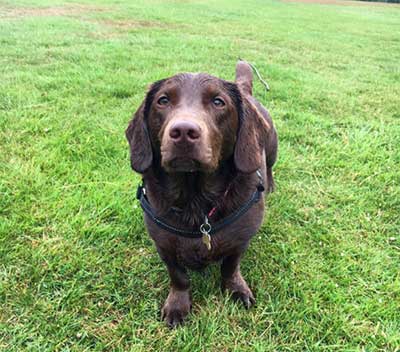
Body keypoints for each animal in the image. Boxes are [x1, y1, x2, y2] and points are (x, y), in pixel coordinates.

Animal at [126, 60, 278, 328]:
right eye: (163, 100)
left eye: (218, 102)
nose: (183, 131)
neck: (195, 201)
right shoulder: (164, 247)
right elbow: (178, 276)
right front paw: (178, 304)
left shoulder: (241, 241)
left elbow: (230, 266)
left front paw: (235, 289)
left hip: (271, 147)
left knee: (269, 165)